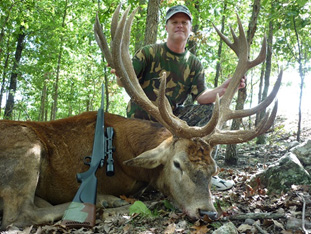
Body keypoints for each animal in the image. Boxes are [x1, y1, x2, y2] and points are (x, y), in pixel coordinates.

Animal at [0, 4, 282, 230]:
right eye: (177, 164)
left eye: (214, 169)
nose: (207, 212)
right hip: (26, 146)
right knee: (18, 215)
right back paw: (106, 202)